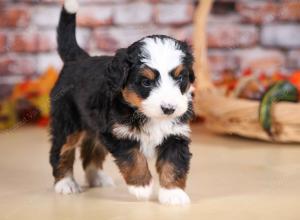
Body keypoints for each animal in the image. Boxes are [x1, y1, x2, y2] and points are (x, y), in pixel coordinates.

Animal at [49, 0, 195, 205]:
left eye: (180, 78)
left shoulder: (175, 134)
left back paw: (97, 178)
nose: (169, 109)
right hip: (67, 123)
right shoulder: (118, 133)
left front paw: (173, 194)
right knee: (60, 151)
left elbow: (174, 163)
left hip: (93, 128)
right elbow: (134, 158)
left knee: (90, 152)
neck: (144, 113)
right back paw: (65, 183)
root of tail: (76, 59)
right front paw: (142, 187)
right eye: (146, 82)